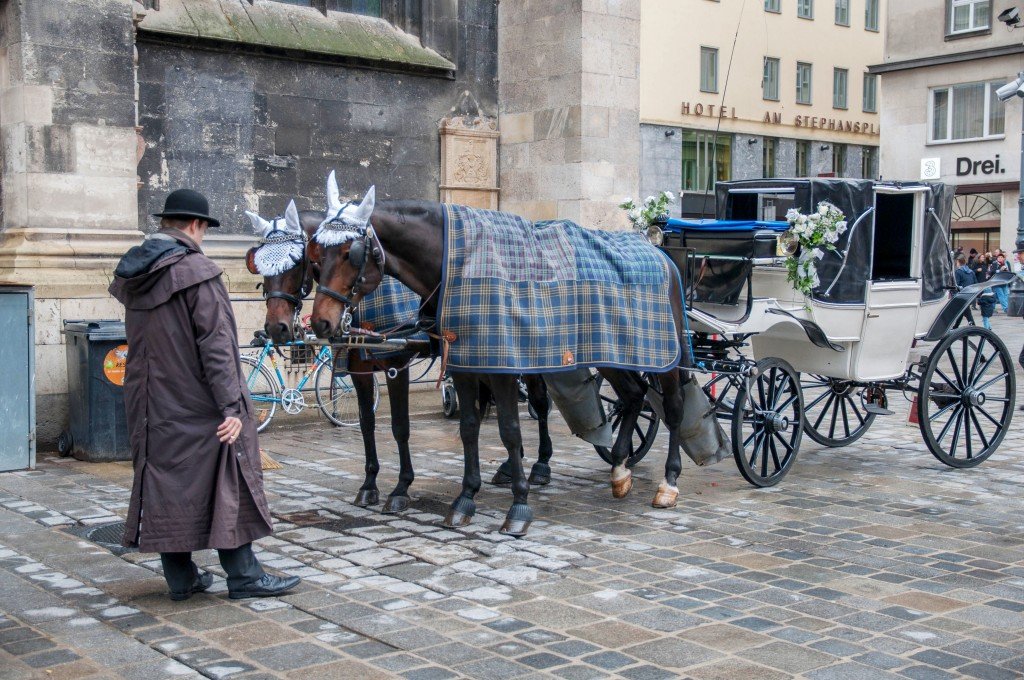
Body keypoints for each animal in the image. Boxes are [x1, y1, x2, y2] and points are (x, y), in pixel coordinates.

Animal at [303, 186, 688, 536]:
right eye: (317, 255)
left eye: (350, 253)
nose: (320, 322)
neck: (453, 263)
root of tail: (658, 252)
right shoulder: (462, 364)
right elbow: (468, 427)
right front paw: (465, 498)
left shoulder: (496, 365)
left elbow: (509, 431)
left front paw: (519, 505)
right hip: (612, 352)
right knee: (633, 395)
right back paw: (620, 469)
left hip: (665, 355)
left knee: (672, 406)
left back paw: (668, 481)